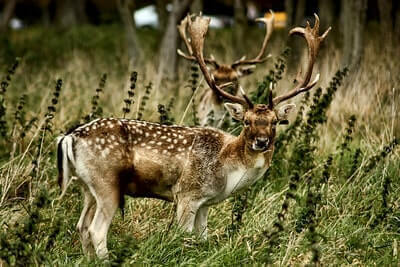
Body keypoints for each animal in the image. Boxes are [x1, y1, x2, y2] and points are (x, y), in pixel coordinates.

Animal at [57, 13, 332, 260]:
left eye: (275, 122)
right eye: (246, 121)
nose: (261, 141)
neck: (227, 168)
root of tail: (69, 138)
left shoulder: (205, 204)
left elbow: (202, 239)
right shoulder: (187, 194)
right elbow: (183, 237)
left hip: (87, 186)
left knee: (82, 226)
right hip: (107, 184)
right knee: (96, 230)